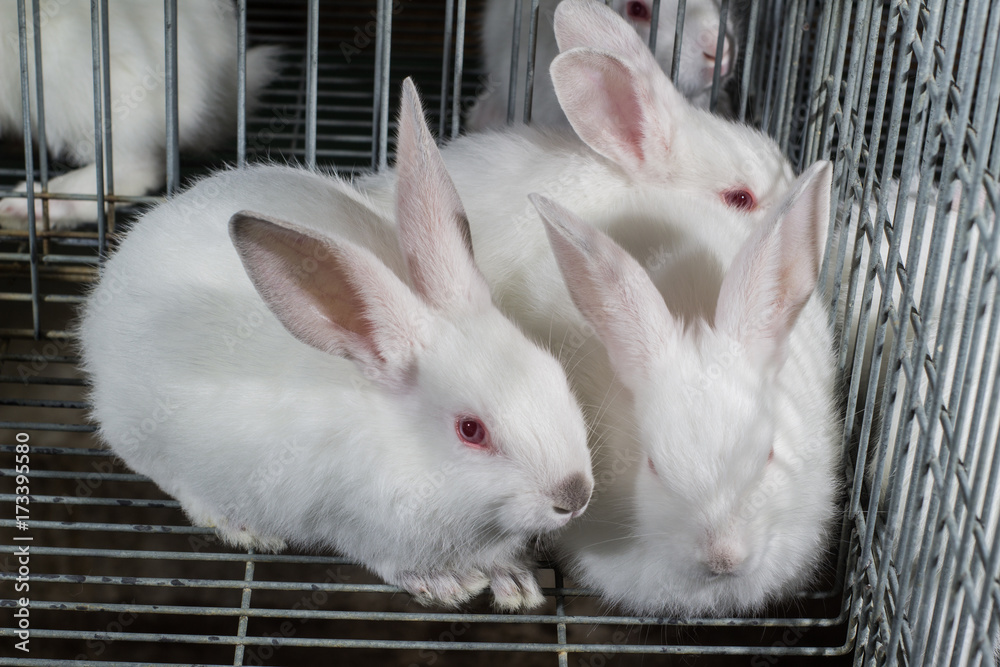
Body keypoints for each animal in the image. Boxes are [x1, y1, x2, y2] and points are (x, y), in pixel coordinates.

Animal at [78, 78, 594, 611]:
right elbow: (389, 561)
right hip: (151, 439)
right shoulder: (356, 525)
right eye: (471, 430)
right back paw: (242, 527)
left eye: (553, 373)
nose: (575, 495)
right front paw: (446, 584)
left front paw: (516, 584)